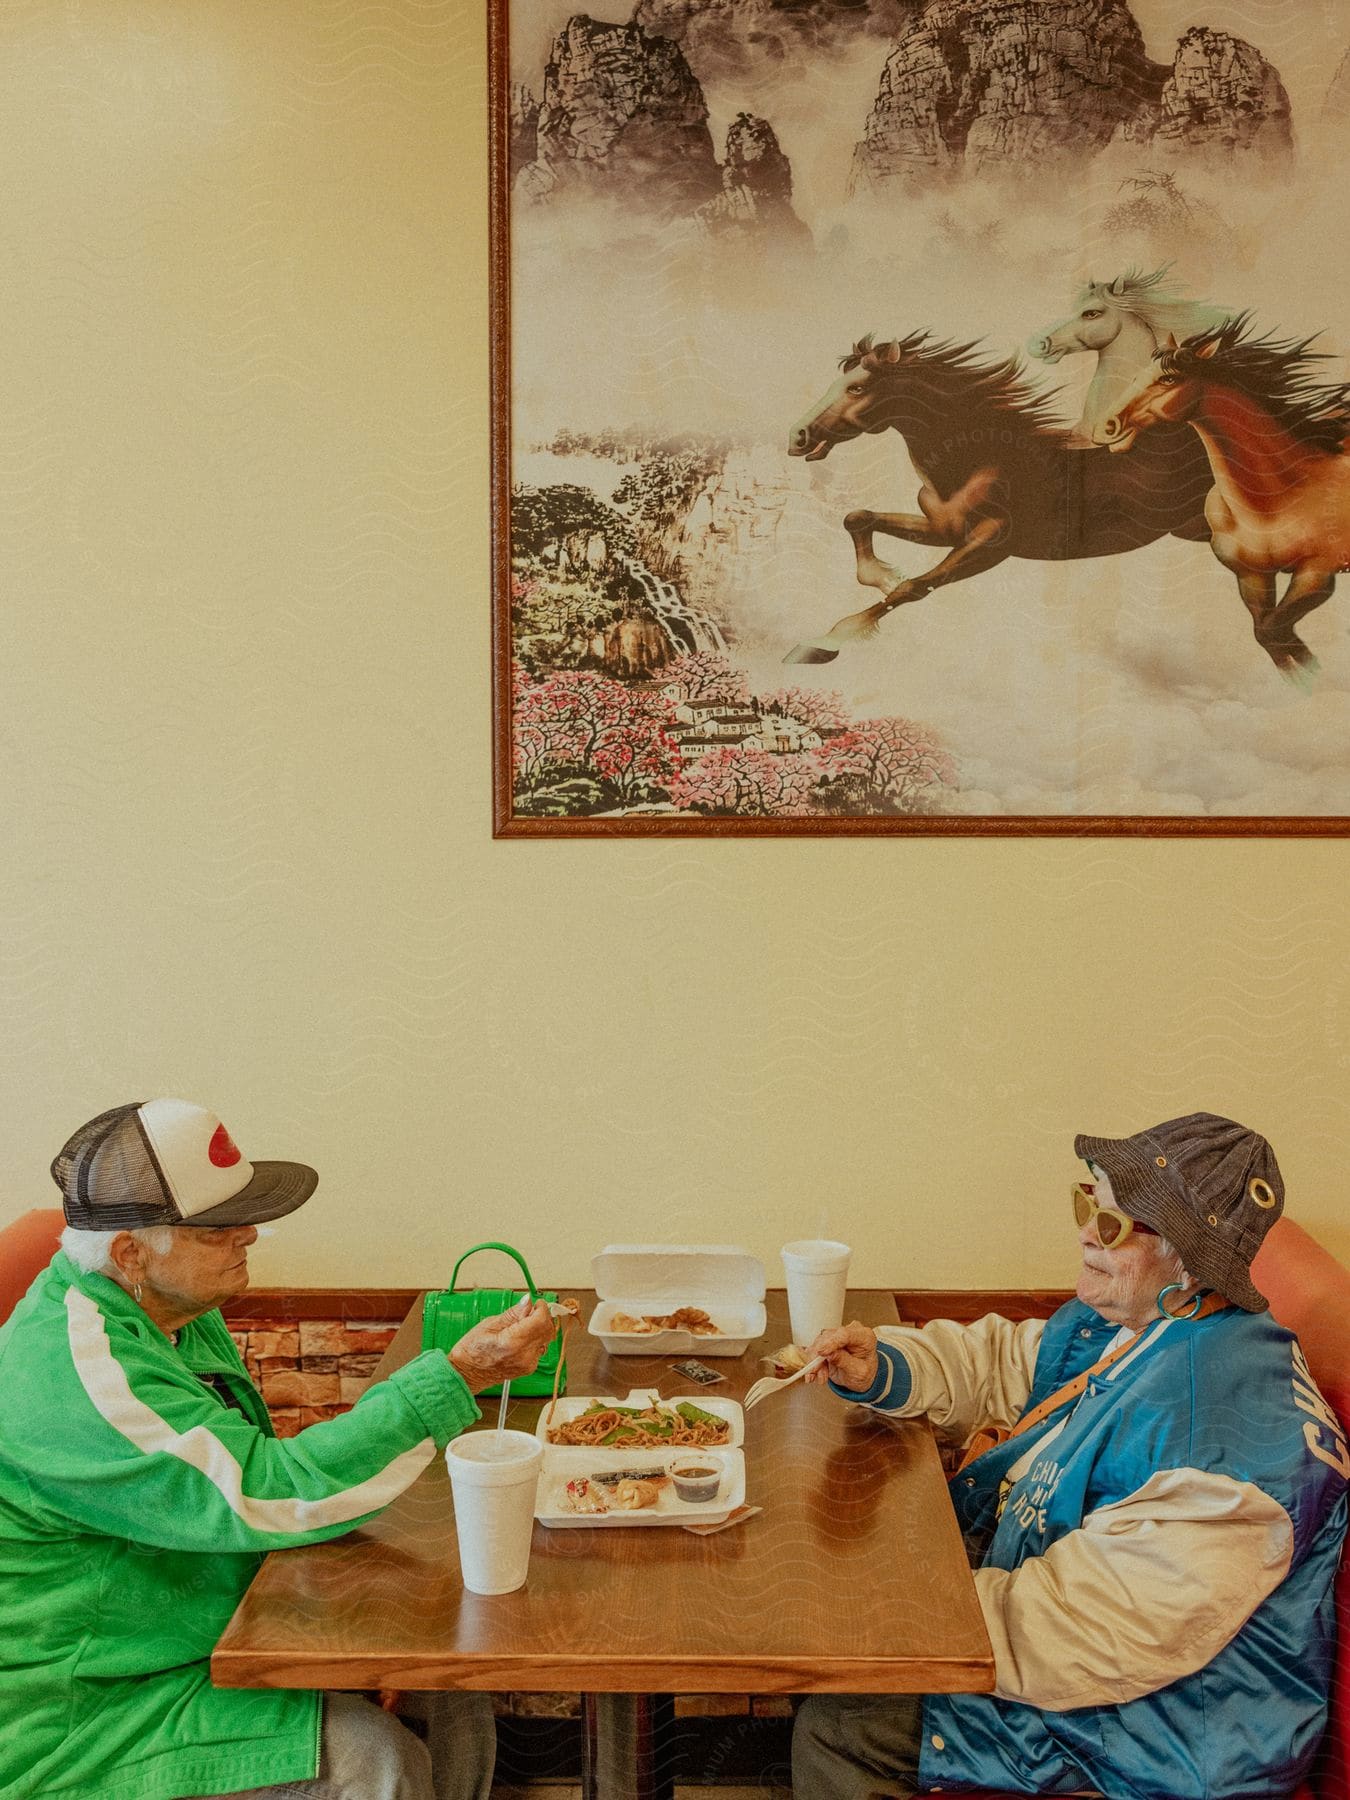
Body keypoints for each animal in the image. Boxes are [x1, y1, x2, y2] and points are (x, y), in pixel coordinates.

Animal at [781, 329, 1216, 662]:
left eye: (856, 387)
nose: (797, 437)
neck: (981, 460)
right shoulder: (943, 529)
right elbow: (857, 517)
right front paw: (883, 575)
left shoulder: (992, 542)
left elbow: (915, 587)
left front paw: (821, 643)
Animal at [1101, 316, 1350, 676]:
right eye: (1137, 375)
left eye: (1169, 378)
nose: (1107, 426)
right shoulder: (1251, 577)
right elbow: (1270, 637)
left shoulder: (1316, 574)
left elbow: (1274, 632)